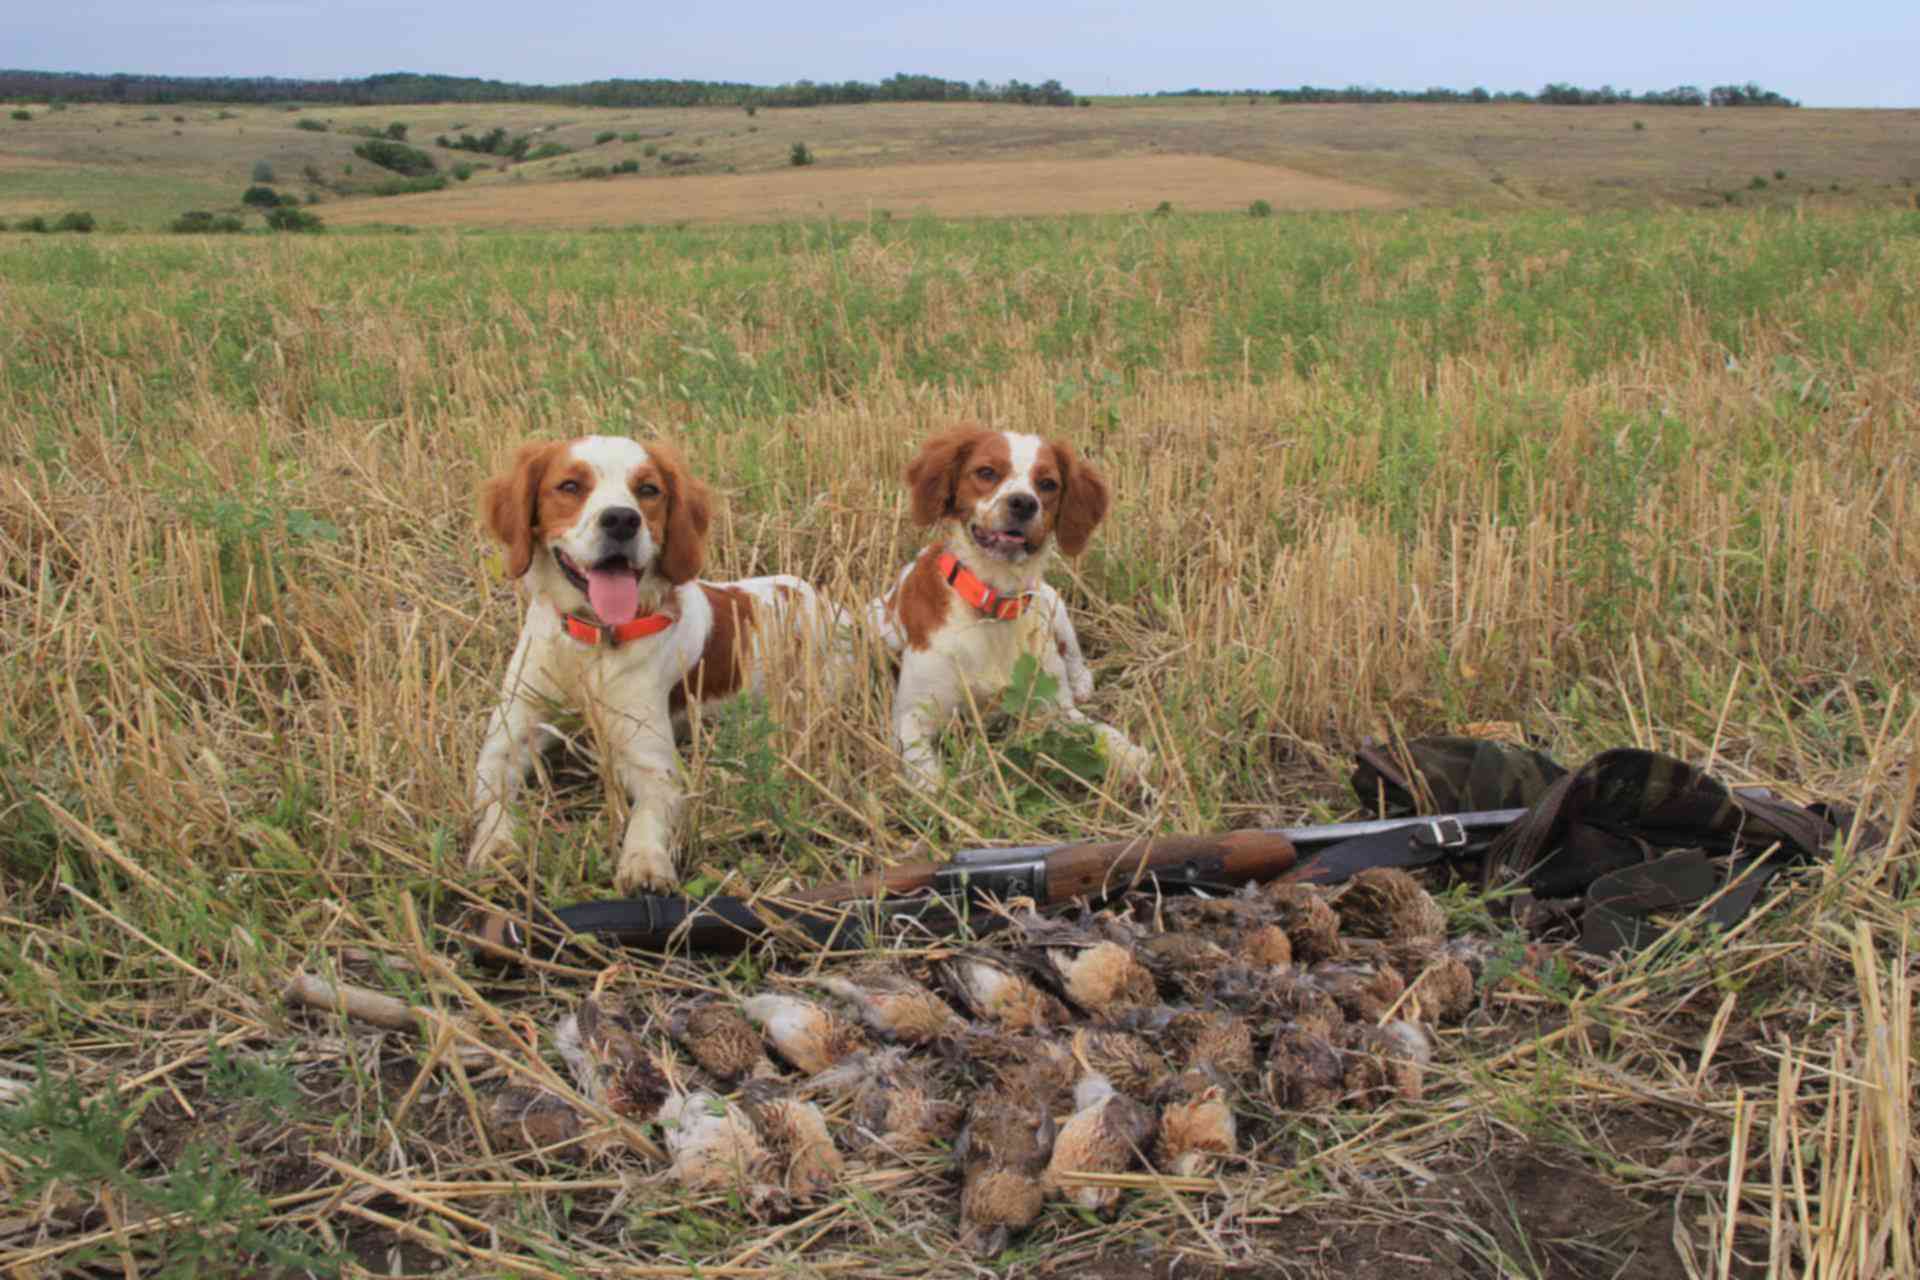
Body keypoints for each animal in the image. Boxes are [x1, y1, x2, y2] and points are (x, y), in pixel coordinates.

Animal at [464, 437, 840, 890]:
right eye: (570, 485)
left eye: (648, 490)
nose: (622, 520)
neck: (593, 643)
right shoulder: (507, 737)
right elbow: (494, 797)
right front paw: (495, 846)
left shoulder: (652, 762)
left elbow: (649, 814)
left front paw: (644, 862)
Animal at [875, 427, 1152, 790]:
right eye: (986, 472)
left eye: (1048, 483)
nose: (1023, 503)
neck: (993, 608)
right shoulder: (911, 716)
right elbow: (928, 776)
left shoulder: (1052, 706)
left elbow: (1099, 730)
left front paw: (1130, 754)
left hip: (1054, 605)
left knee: (1074, 655)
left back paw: (1081, 683)